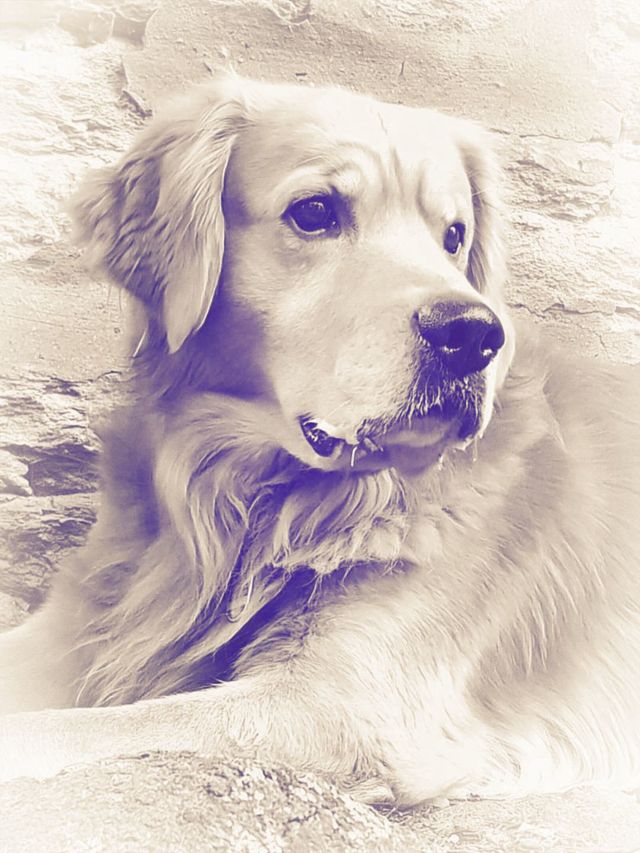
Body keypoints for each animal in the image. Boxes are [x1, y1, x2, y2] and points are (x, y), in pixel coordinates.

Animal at [0, 75, 639, 806]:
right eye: (315, 212)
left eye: (453, 235)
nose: (473, 334)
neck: (252, 500)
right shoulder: (79, 621)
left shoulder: (332, 707)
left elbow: (62, 730)